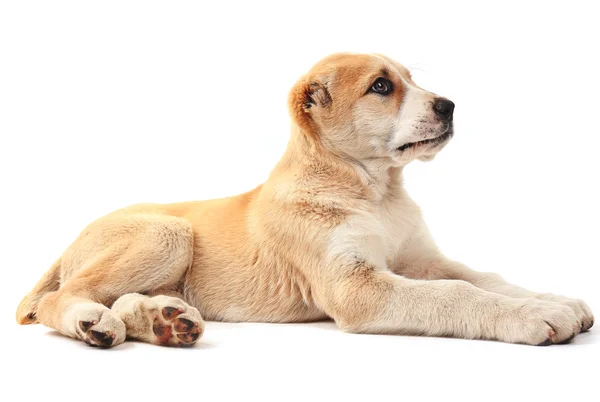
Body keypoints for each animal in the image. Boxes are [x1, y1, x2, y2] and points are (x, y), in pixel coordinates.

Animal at [16, 53, 592, 348]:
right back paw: (94, 322)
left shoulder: (420, 260)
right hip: (166, 232)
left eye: (411, 79)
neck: (376, 191)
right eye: (382, 87)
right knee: (60, 298)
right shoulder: (357, 286)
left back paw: (166, 321)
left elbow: (482, 277)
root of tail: (71, 240)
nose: (450, 105)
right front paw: (532, 316)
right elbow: (457, 293)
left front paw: (553, 299)